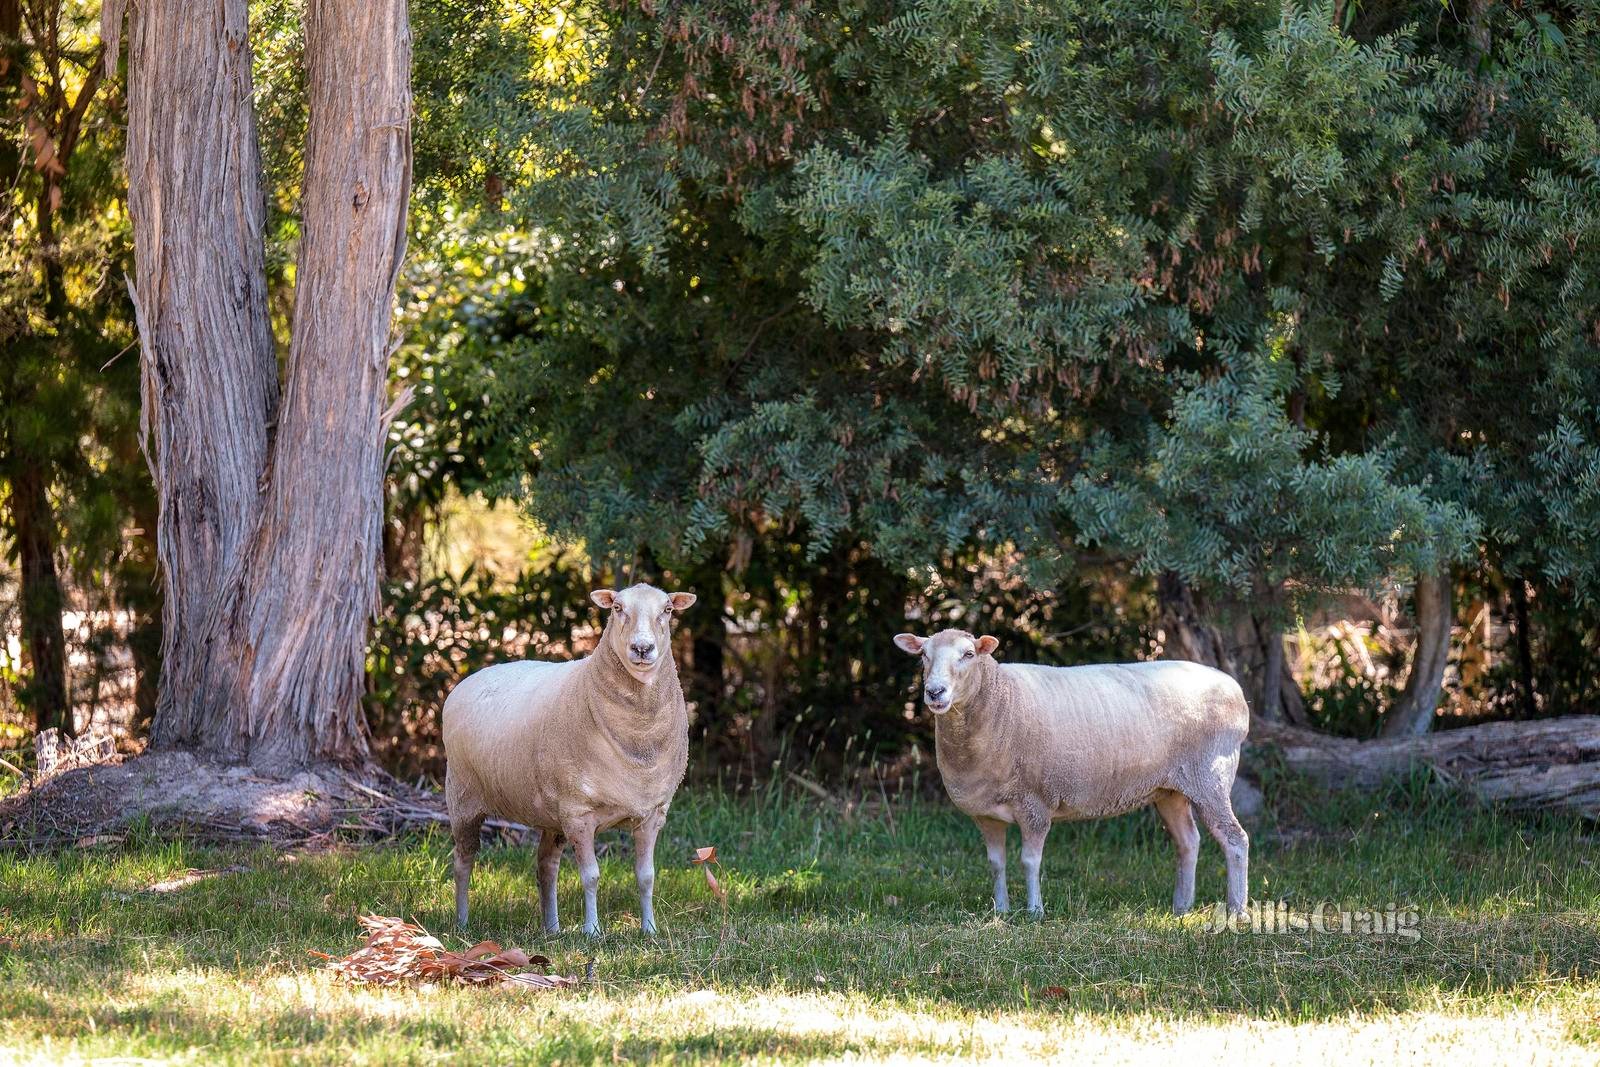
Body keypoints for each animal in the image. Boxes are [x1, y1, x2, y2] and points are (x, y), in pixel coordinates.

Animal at [444, 585, 694, 934]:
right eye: (617, 608)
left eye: (668, 609)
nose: (642, 648)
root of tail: (467, 681)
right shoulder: (579, 813)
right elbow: (591, 877)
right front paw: (593, 931)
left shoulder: (652, 813)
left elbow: (646, 877)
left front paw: (649, 930)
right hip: (463, 798)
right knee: (462, 861)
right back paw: (462, 923)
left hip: (552, 814)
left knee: (545, 865)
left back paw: (552, 929)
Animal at [889, 627, 1248, 921]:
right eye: (923, 655)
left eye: (968, 654)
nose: (935, 693)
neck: (999, 702)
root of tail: (1233, 688)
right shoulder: (986, 814)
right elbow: (996, 863)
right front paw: (1001, 910)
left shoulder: (1034, 804)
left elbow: (1029, 861)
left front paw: (1034, 912)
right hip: (1169, 789)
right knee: (1188, 841)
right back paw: (1181, 908)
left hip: (1211, 775)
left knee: (1235, 839)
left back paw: (1237, 912)